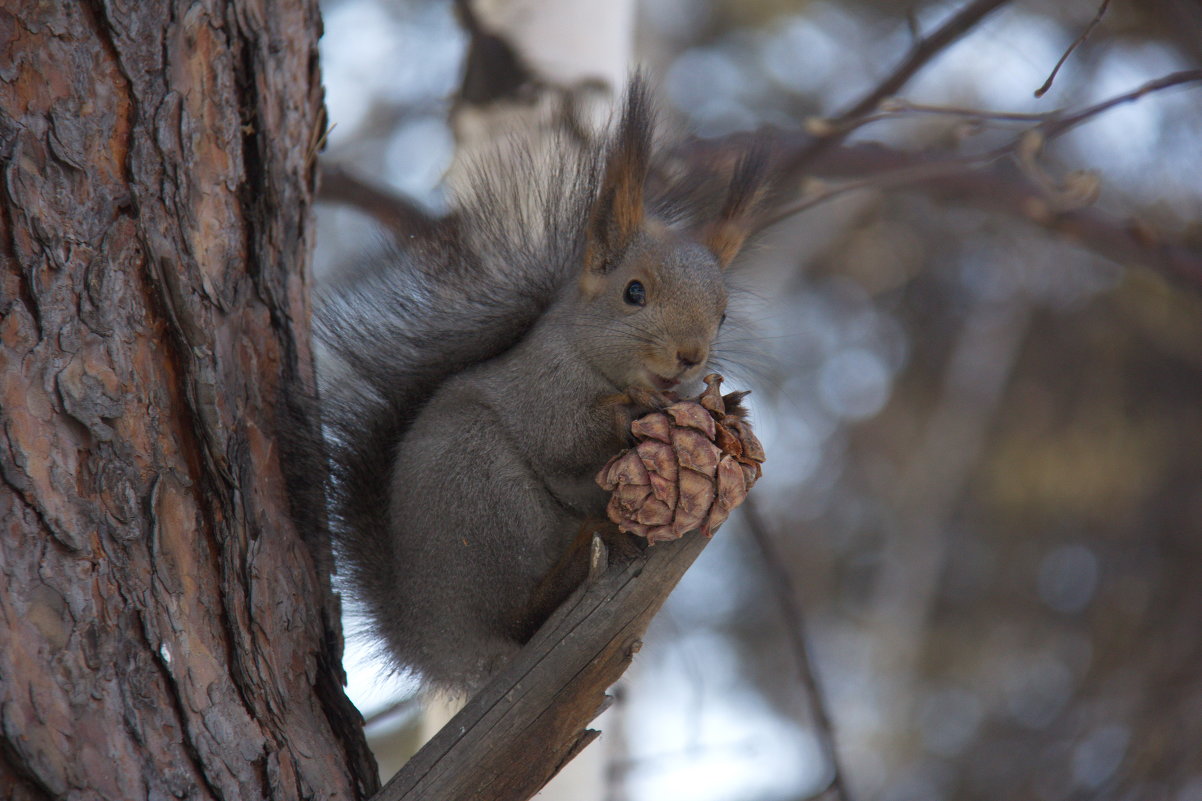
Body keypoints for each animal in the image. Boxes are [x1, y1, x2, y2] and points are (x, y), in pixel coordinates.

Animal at [317, 79, 769, 692]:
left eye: (722, 315)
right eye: (633, 292)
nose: (689, 356)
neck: (589, 358)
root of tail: (438, 648)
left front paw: (733, 414)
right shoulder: (539, 388)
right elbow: (563, 438)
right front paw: (634, 411)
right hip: (483, 492)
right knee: (517, 615)